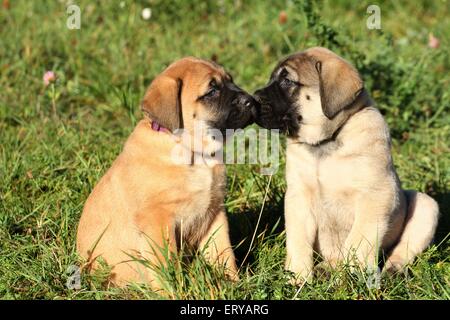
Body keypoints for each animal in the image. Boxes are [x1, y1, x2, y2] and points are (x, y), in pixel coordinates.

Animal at [77, 57, 256, 288]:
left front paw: (233, 283)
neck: (194, 154)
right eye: (212, 91)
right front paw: (173, 290)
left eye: (230, 80)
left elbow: (223, 253)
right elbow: (165, 265)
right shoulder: (158, 221)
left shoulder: (214, 212)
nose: (251, 100)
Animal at [256, 47, 440, 282]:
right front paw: (297, 277)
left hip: (426, 205)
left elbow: (358, 240)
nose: (253, 98)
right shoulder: (299, 198)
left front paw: (354, 275)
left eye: (287, 81)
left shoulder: (376, 195)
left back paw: (393, 271)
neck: (326, 141)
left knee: (402, 249)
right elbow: (298, 242)